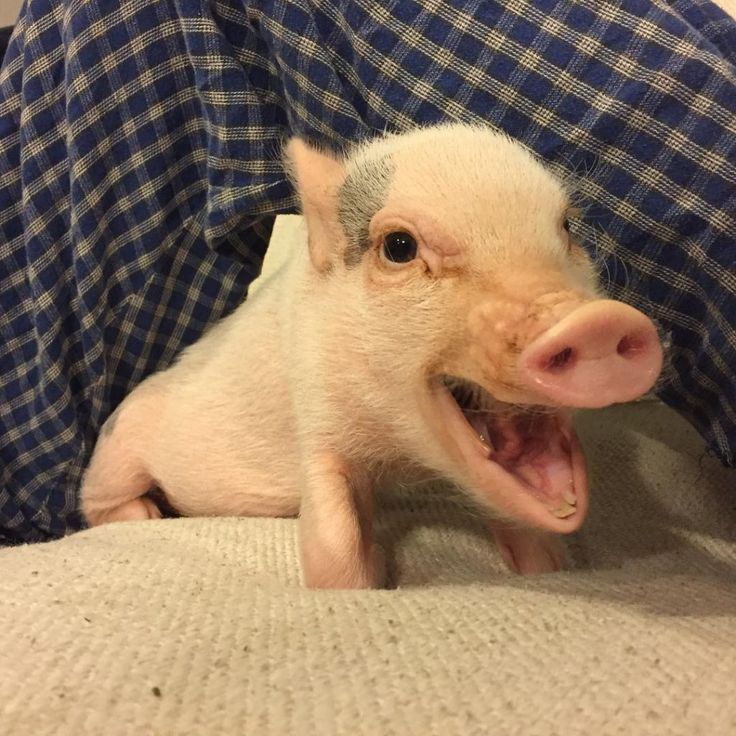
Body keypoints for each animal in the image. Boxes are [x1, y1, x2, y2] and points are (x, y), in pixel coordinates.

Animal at [80, 123, 660, 588]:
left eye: (567, 228)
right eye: (399, 247)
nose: (597, 322)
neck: (399, 455)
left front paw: (549, 568)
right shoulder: (313, 409)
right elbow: (332, 541)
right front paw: (371, 575)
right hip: (118, 445)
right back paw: (146, 519)